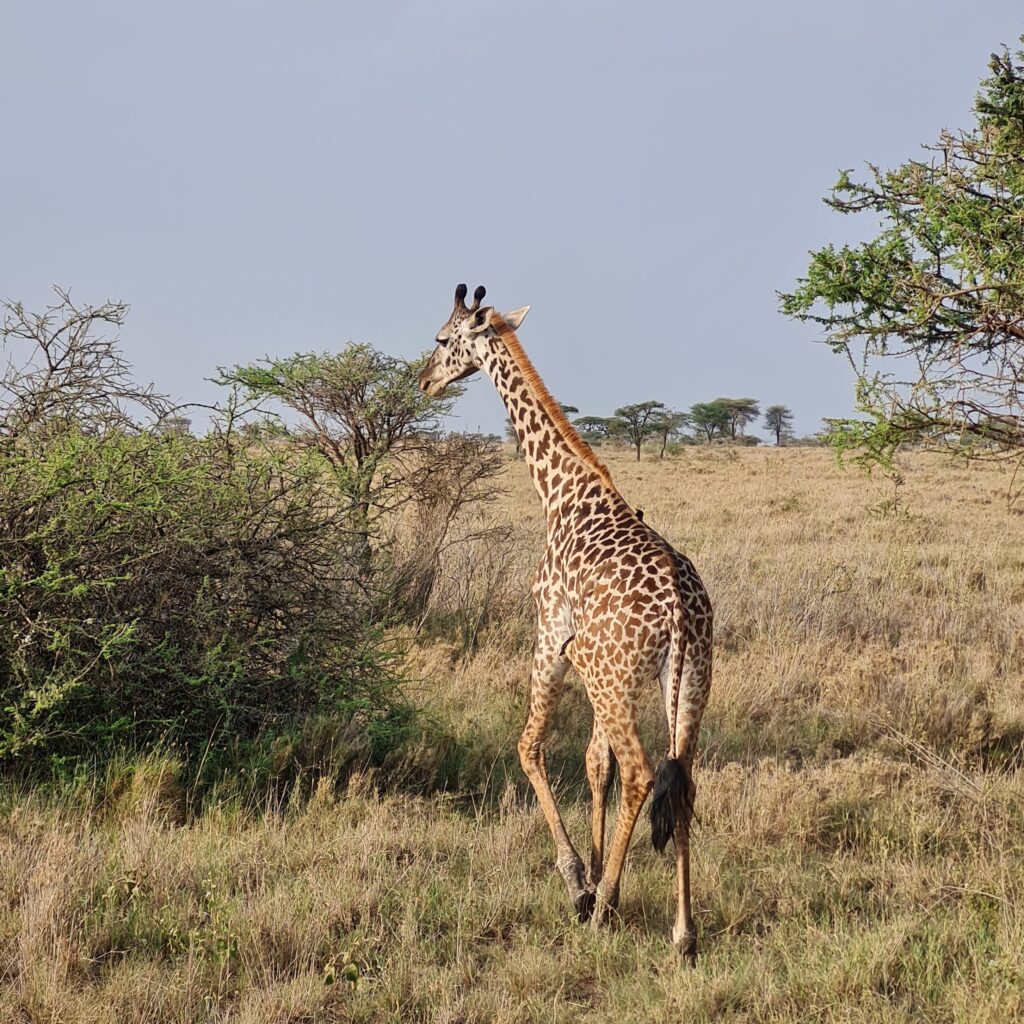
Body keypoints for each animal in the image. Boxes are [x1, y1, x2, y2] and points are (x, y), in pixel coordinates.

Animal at [415, 280, 712, 958]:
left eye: (442, 339)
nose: (424, 381)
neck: (561, 490)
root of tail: (681, 611)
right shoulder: (588, 659)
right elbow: (594, 763)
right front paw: (599, 872)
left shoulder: (551, 634)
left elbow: (531, 747)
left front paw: (581, 882)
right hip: (687, 683)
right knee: (681, 781)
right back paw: (683, 934)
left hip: (619, 678)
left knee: (642, 773)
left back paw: (604, 907)